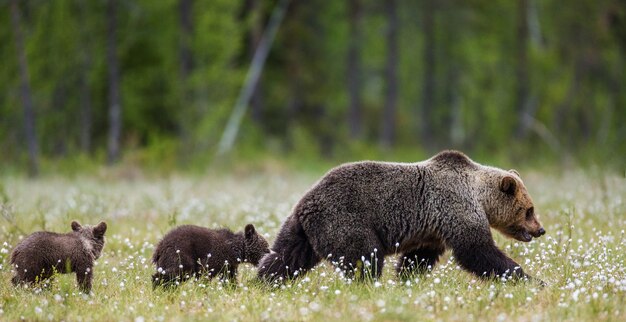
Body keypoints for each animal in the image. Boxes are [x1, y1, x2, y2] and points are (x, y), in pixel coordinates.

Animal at [256, 150, 544, 282]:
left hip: (300, 229)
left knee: (284, 257)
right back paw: (367, 284)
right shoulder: (455, 208)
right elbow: (477, 251)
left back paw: (263, 282)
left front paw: (406, 278)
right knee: (365, 257)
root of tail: (306, 202)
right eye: (529, 209)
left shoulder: (432, 229)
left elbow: (417, 257)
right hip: (344, 220)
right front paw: (530, 279)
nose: (540, 229)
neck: (479, 196)